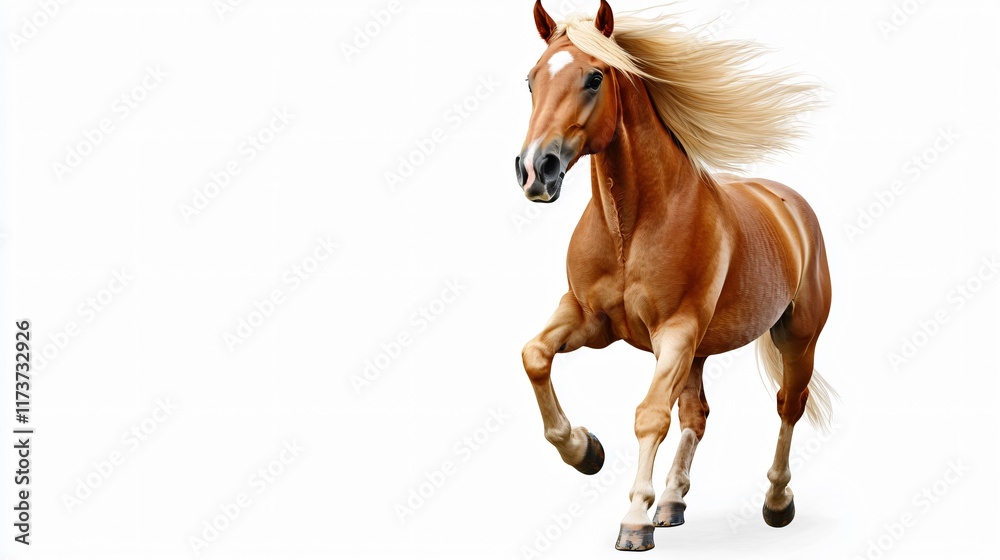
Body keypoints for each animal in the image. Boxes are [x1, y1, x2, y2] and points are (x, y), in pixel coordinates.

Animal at [514, 1, 836, 551]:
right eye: (532, 79)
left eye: (594, 77)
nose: (537, 170)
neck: (633, 226)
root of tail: (788, 204)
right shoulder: (588, 318)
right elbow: (534, 356)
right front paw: (584, 451)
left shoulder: (675, 330)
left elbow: (649, 416)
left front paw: (633, 522)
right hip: (699, 352)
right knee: (697, 415)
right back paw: (672, 501)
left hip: (795, 337)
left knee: (788, 406)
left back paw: (776, 502)